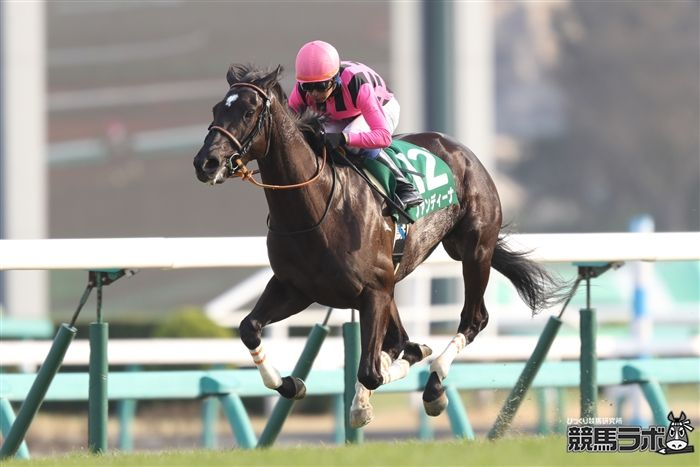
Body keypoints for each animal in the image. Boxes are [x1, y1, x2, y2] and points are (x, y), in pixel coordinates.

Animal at [193, 64, 568, 427]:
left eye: (248, 111)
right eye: (215, 109)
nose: (205, 163)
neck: (316, 208)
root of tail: (463, 151)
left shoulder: (373, 290)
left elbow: (372, 371)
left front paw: (390, 380)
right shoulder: (296, 288)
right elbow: (249, 329)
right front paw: (292, 383)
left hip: (474, 251)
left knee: (473, 319)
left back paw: (434, 386)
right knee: (401, 337)